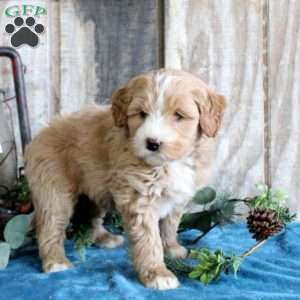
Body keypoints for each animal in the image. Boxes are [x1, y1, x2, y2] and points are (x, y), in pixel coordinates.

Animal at [24, 69, 225, 290]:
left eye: (179, 115)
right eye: (142, 114)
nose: (152, 143)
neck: (166, 164)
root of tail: (41, 134)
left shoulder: (176, 200)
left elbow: (169, 226)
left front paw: (172, 249)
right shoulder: (141, 200)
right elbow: (149, 240)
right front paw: (157, 273)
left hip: (95, 191)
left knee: (89, 217)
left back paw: (104, 238)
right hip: (54, 191)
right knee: (50, 226)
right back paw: (56, 261)